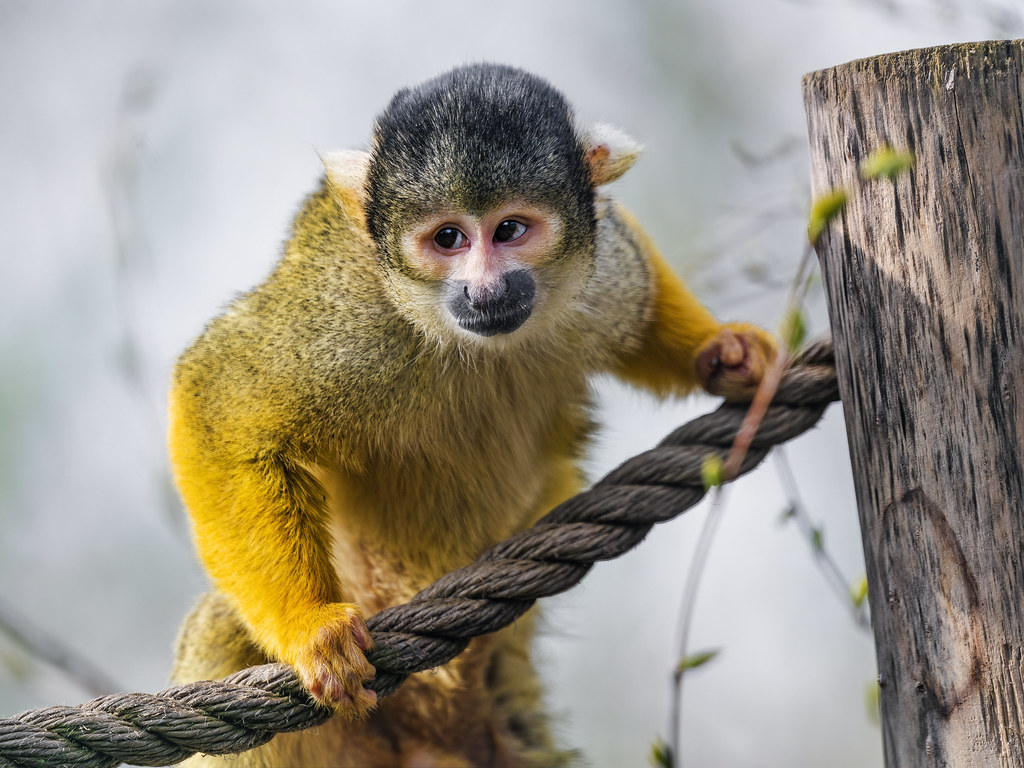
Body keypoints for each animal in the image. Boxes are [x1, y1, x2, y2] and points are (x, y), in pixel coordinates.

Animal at [169, 63, 777, 768]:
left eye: (510, 230)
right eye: (448, 239)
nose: (484, 289)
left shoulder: (603, 274)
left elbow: (639, 286)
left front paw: (721, 351)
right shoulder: (345, 315)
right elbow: (218, 400)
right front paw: (307, 626)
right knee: (222, 633)